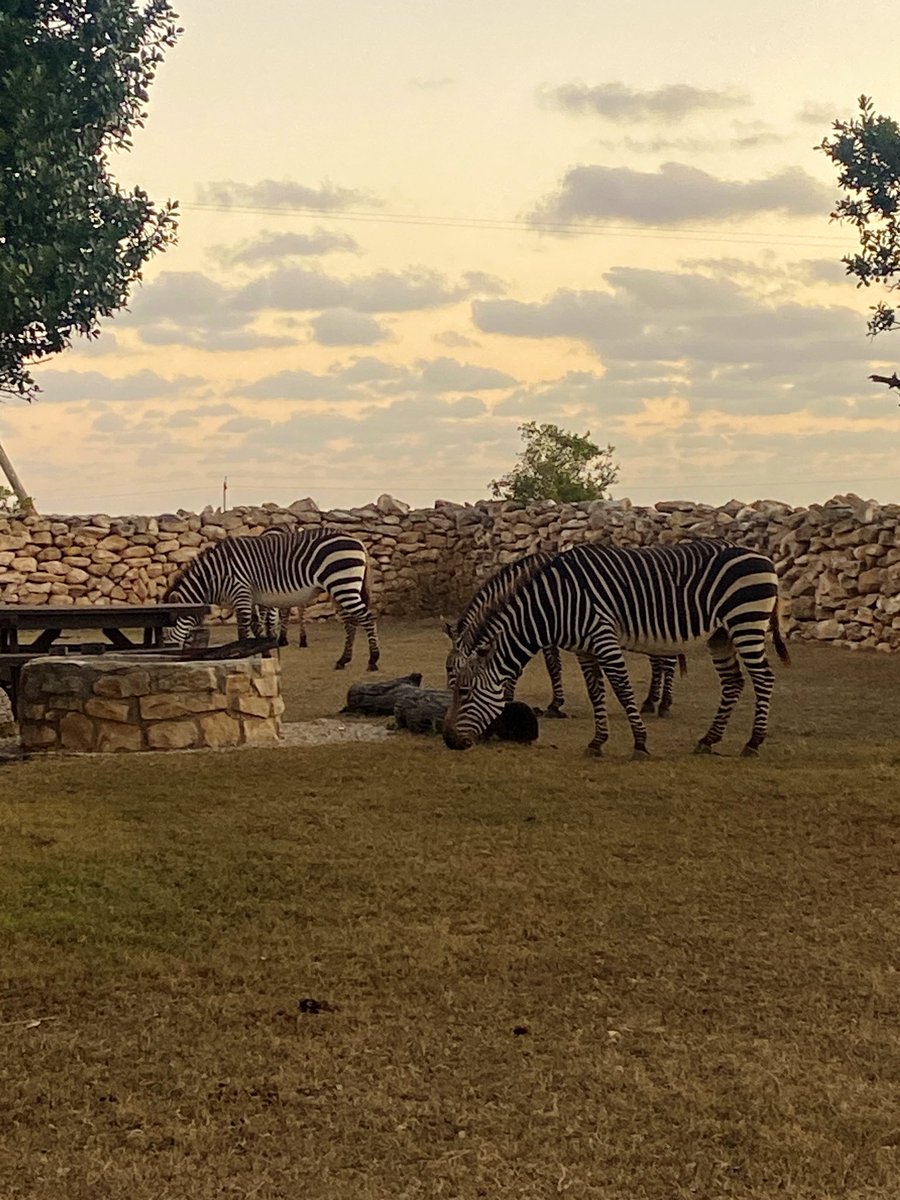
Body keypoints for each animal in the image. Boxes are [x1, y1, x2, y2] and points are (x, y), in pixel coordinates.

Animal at [162, 528, 380, 671]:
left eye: (162, 636)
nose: (167, 659)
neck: (215, 575)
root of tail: (357, 539)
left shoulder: (241, 592)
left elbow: (243, 630)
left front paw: (243, 657)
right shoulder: (248, 598)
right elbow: (255, 626)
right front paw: (263, 653)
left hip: (343, 583)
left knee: (366, 618)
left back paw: (373, 660)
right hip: (340, 588)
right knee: (351, 622)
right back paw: (343, 660)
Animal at [444, 551, 684, 718]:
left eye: (450, 669)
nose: (448, 701)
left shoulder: (541, 633)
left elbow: (551, 666)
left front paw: (552, 704)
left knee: (668, 661)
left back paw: (663, 704)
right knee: (658, 662)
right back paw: (651, 702)